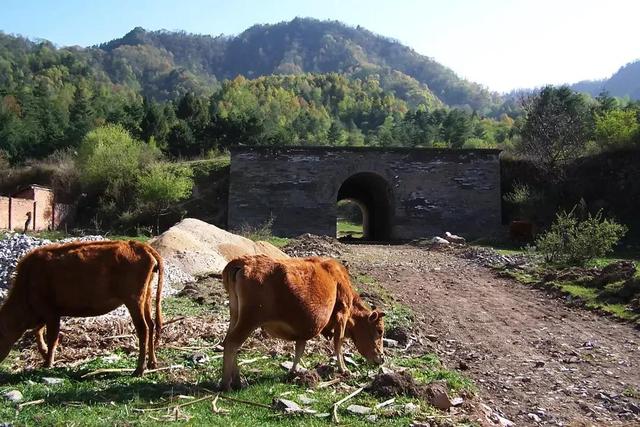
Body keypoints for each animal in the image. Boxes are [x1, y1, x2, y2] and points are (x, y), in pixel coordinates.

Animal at [0, 241, 164, 378]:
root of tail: (138, 245)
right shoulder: (43, 314)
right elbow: (38, 332)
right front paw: (45, 353)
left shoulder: (51, 313)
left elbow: (51, 337)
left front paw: (48, 363)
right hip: (146, 296)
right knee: (151, 325)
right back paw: (152, 363)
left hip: (133, 300)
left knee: (143, 329)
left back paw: (139, 369)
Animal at [220, 254, 384, 392]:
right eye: (380, 331)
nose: (381, 358)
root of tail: (242, 261)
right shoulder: (342, 315)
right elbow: (338, 344)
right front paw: (344, 369)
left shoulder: (304, 329)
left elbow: (300, 349)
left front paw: (293, 372)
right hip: (250, 319)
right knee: (232, 343)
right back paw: (227, 384)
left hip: (235, 315)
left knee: (228, 341)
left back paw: (236, 381)